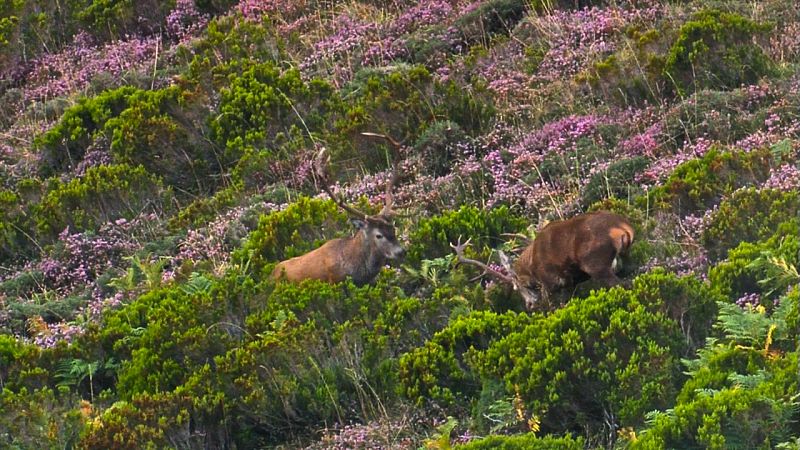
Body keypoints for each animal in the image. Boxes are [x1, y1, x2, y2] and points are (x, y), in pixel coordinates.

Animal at [454, 210, 636, 310]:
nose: (530, 305)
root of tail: (623, 229)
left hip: (596, 264)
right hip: (624, 261)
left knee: (622, 284)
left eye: (516, 285)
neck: (531, 266)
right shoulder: (570, 283)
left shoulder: (552, 283)